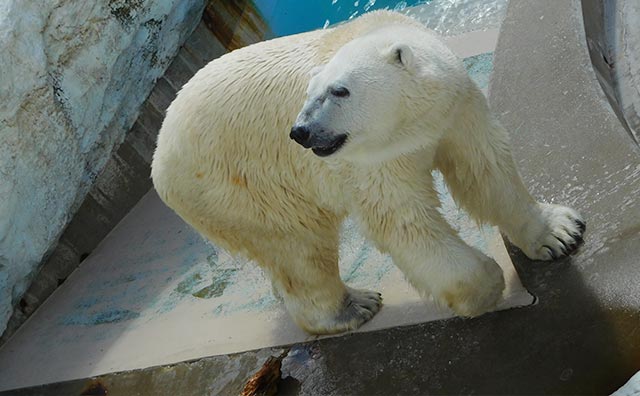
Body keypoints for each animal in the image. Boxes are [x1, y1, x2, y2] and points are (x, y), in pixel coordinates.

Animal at [150, 10, 584, 334]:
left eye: (339, 91)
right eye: (310, 93)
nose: (300, 131)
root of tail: (159, 154)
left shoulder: (455, 110)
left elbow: (486, 169)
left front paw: (560, 234)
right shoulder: (373, 159)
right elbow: (404, 220)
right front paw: (486, 285)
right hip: (239, 183)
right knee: (299, 247)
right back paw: (354, 306)